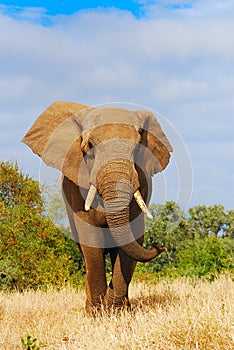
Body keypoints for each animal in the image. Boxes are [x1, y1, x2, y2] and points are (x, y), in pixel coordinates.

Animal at [22, 100, 172, 312]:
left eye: (137, 148)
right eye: (90, 146)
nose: (159, 246)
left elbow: (132, 237)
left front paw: (117, 312)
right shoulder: (75, 188)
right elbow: (91, 240)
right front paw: (98, 313)